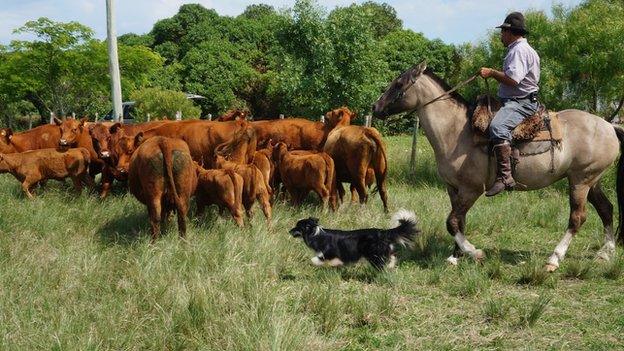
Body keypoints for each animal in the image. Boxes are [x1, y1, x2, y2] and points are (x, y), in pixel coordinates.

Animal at [372, 62, 620, 272]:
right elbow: (459, 222)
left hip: (580, 181)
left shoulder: (472, 189)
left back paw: (554, 259)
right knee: (606, 209)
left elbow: (451, 222)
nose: (376, 107)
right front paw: (455, 257)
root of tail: (609, 126)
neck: (455, 131)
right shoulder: (454, 189)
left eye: (399, 83)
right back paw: (605, 253)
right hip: (591, 181)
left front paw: (474, 253)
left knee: (577, 218)